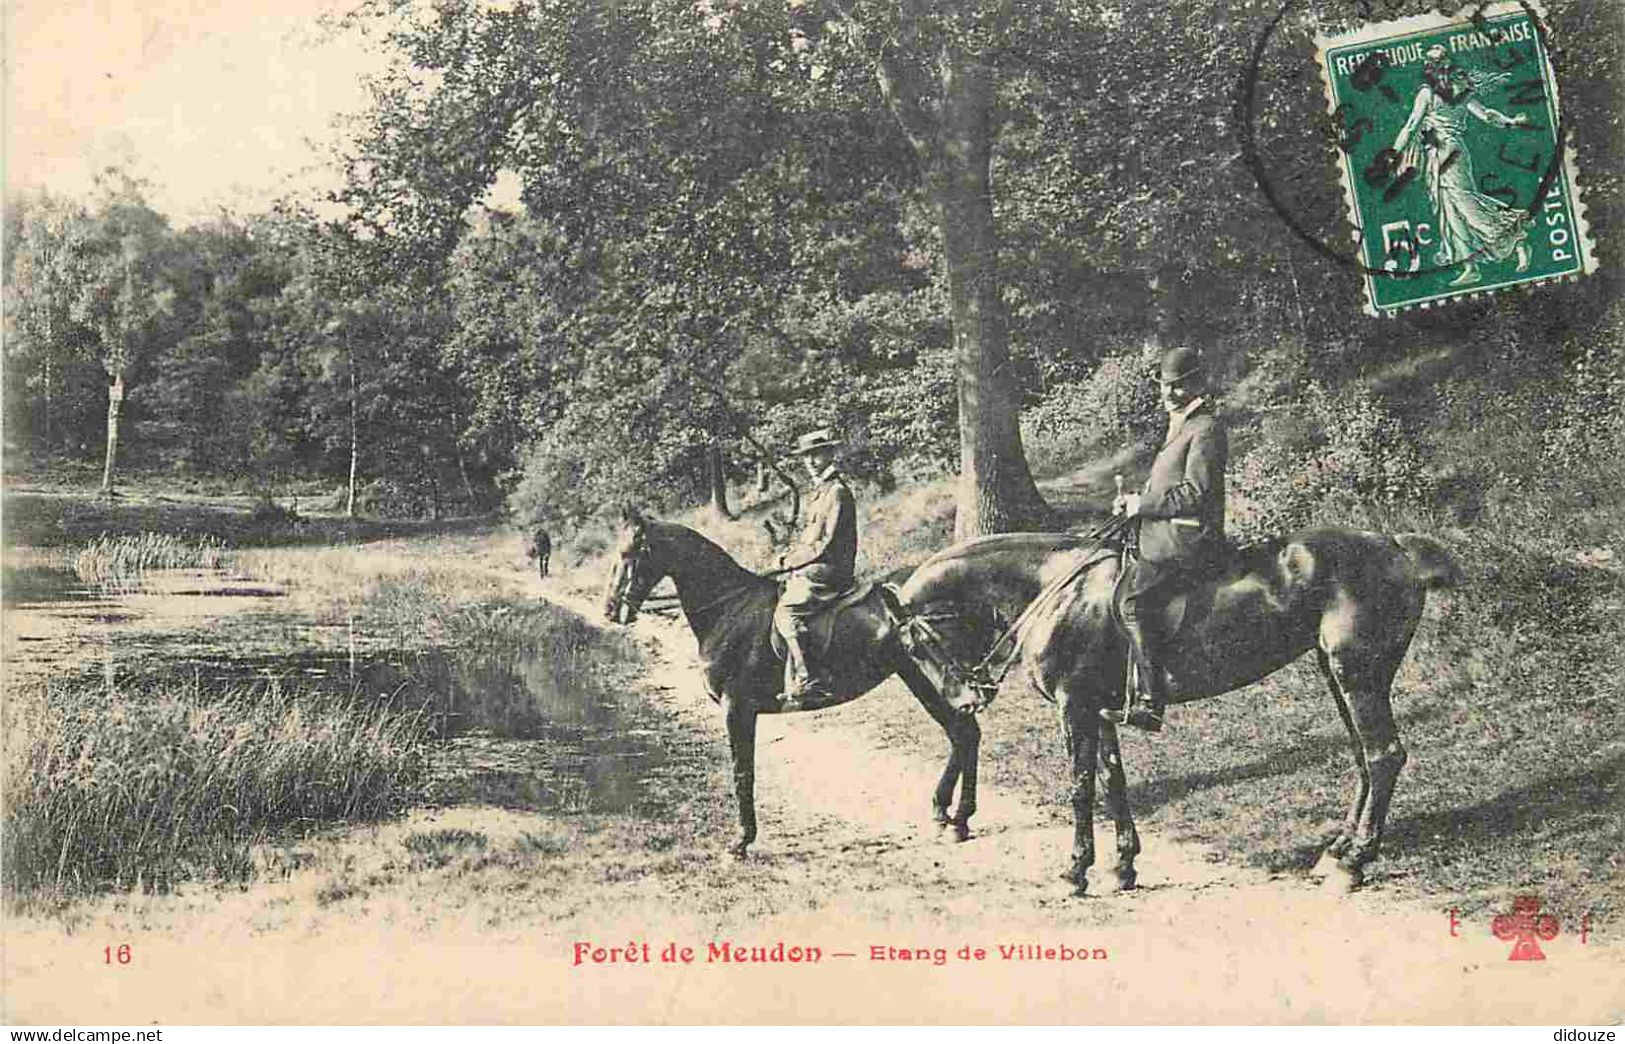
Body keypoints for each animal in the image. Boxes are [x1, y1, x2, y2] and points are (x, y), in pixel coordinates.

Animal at [598, 507, 975, 852]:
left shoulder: (737, 710)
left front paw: (742, 840)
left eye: (629, 553)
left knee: (964, 733)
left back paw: (957, 819)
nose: (610, 610)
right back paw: (948, 815)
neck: (730, 610)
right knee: (962, 734)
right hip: (921, 677)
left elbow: (742, 772)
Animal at [897, 526, 1469, 897]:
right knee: (1364, 760)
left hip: (1358, 676)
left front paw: (1076, 871)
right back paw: (1337, 852)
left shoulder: (1074, 708)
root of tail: (1396, 548)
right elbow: (1112, 782)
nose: (965, 701)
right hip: (1339, 676)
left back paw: (1353, 861)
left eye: (919, 640)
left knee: (1382, 757)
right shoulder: (1099, 711)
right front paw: (1123, 867)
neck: (1056, 590)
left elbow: (1081, 791)